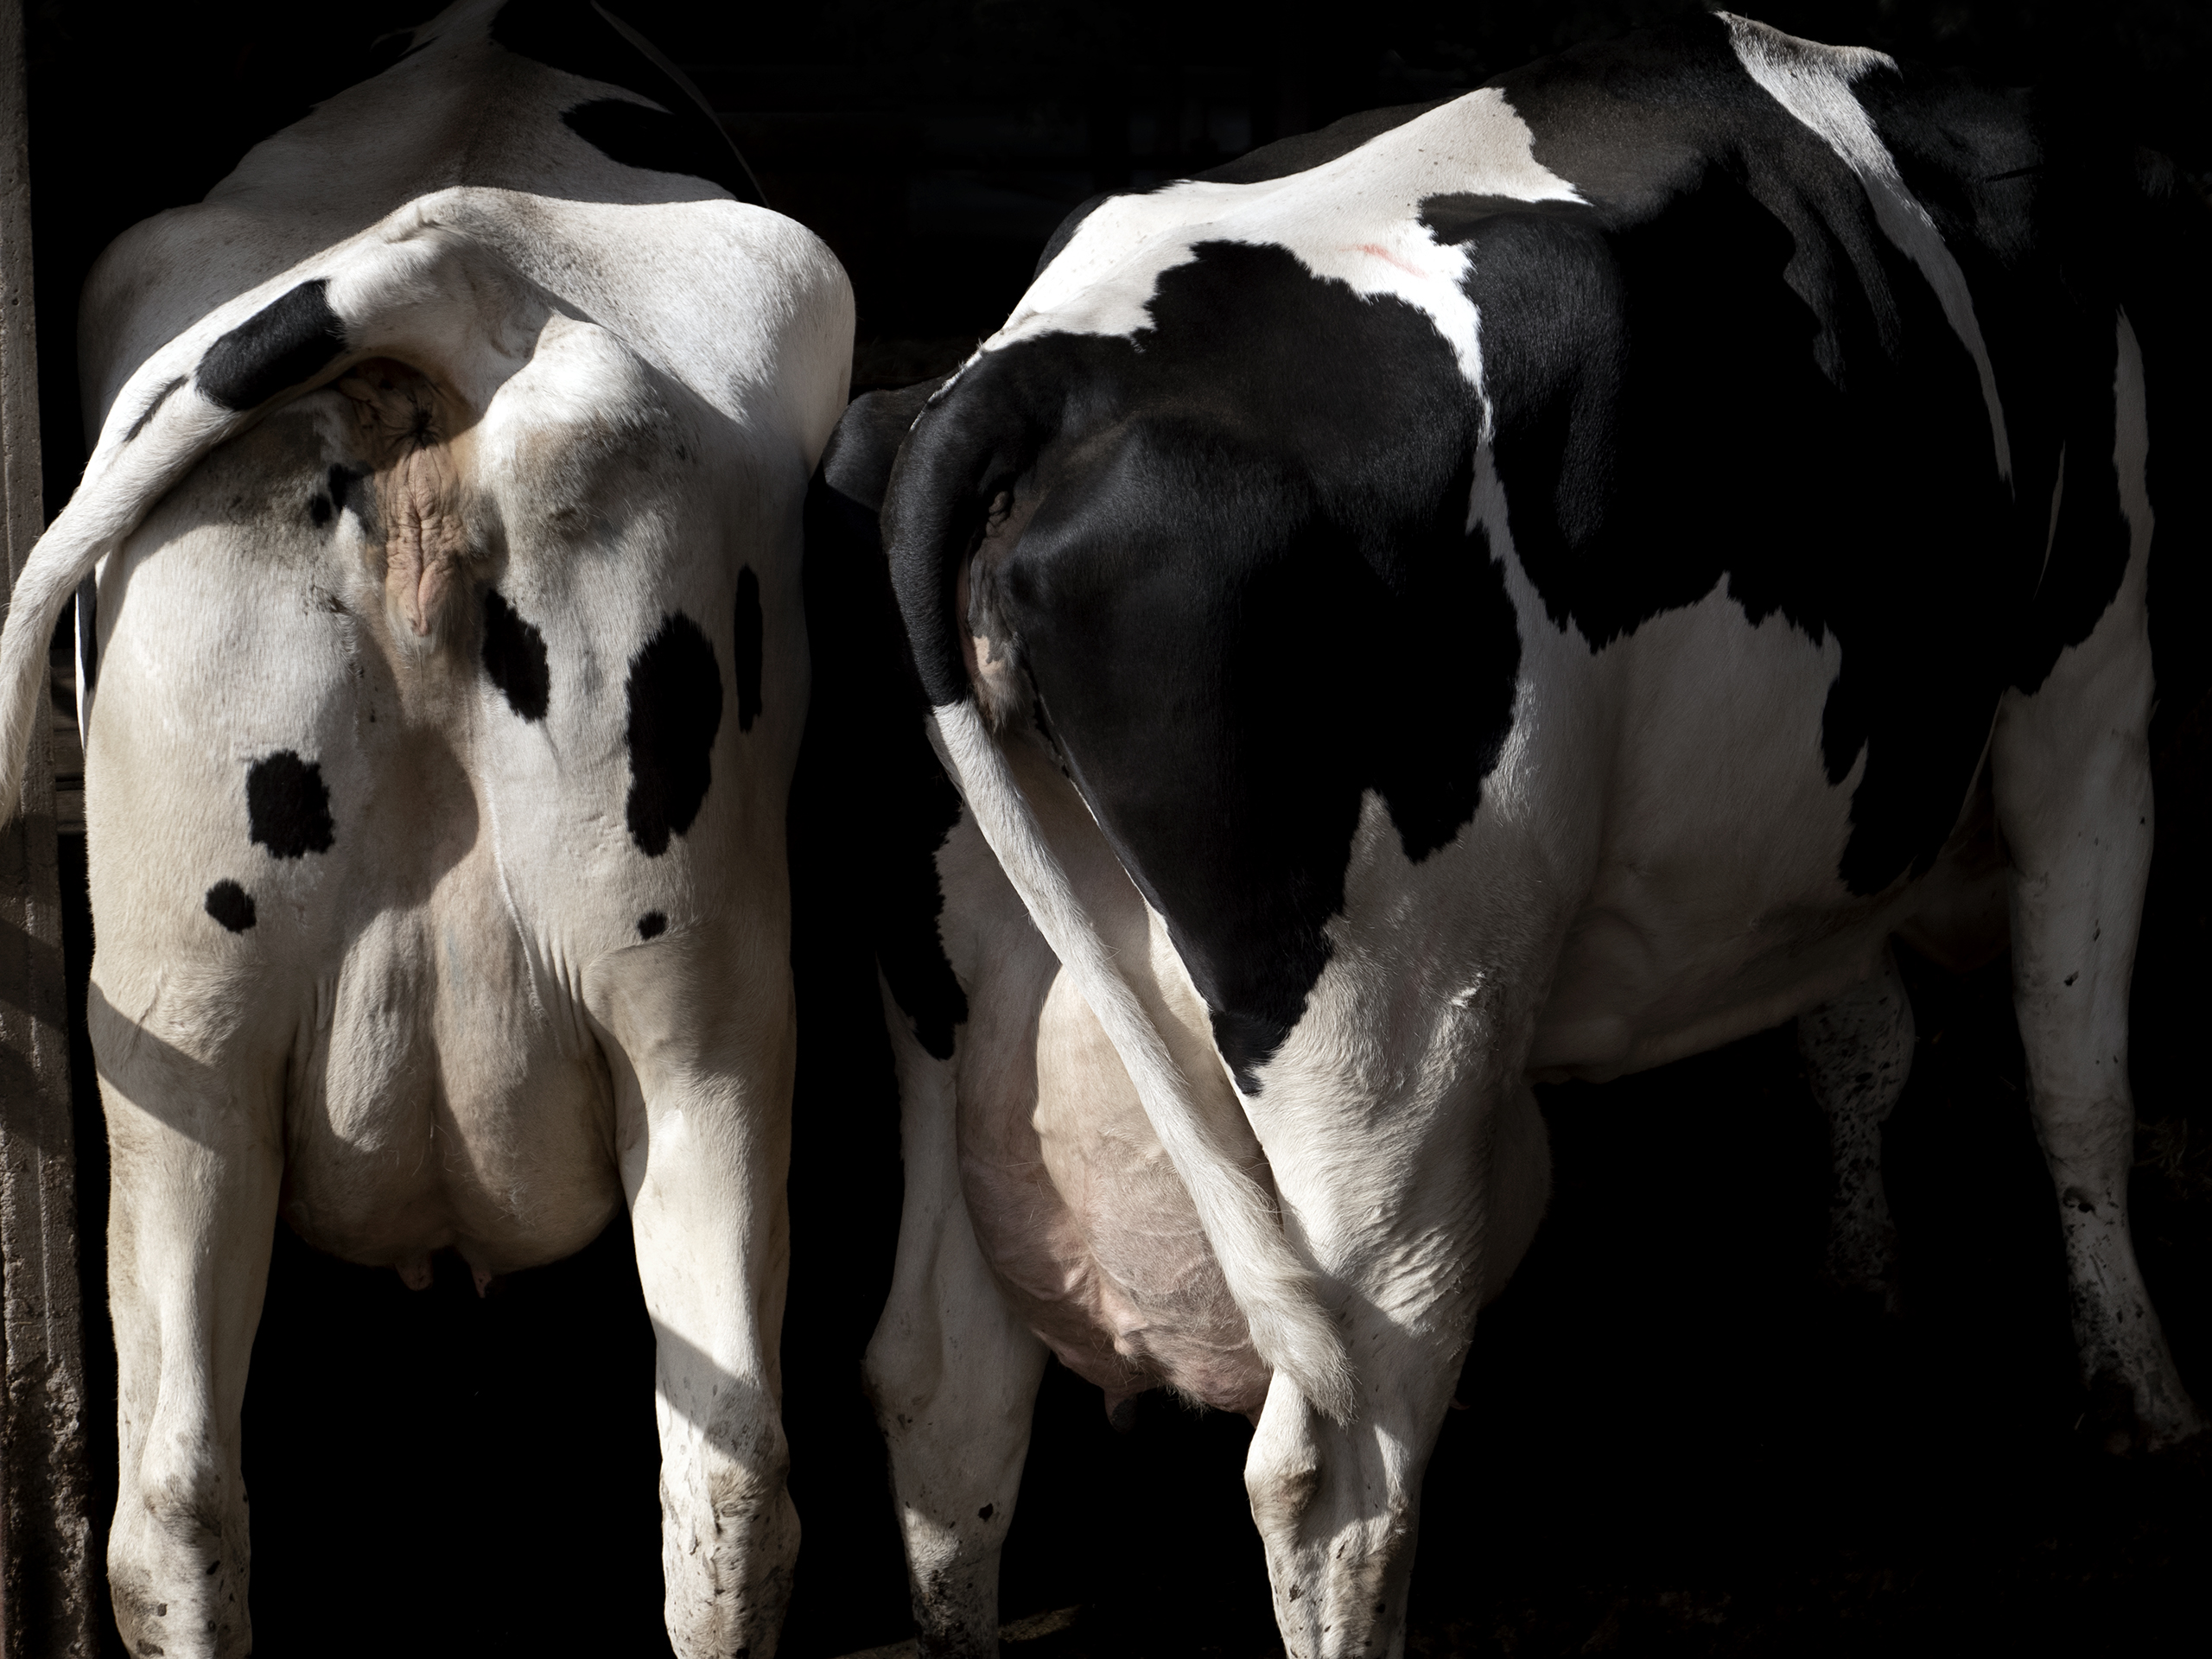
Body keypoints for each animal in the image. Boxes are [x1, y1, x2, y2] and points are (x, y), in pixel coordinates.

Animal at [814, 13, 2209, 1658]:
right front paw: (2139, 1398)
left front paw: (1861, 1283)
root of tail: (1026, 378)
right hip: (1396, 1039)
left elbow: (1856, 1034)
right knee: (1341, 1461)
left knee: (942, 1389)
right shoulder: (2089, 696)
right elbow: (2078, 1073)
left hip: (957, 1003)